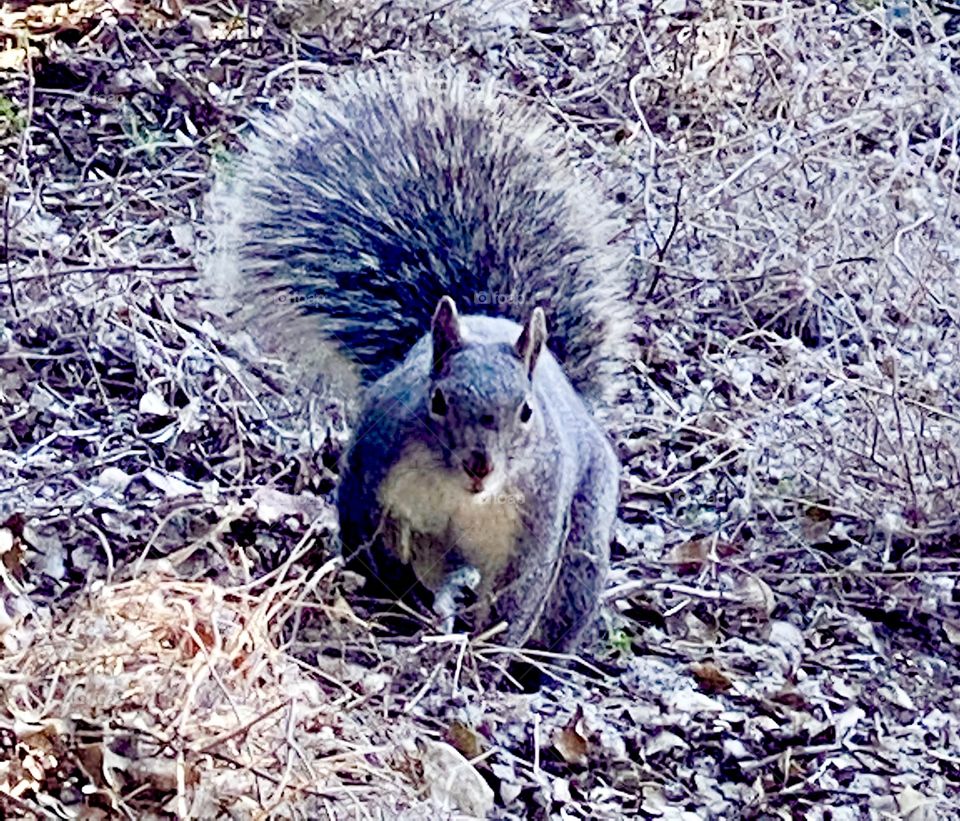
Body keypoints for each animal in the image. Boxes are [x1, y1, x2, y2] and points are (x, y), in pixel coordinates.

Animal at [207, 66, 633, 655]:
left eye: (526, 412)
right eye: (436, 401)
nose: (480, 465)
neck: (462, 498)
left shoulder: (536, 524)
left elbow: (517, 597)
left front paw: (490, 651)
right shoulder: (374, 473)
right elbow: (369, 541)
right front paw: (388, 598)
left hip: (584, 540)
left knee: (563, 602)